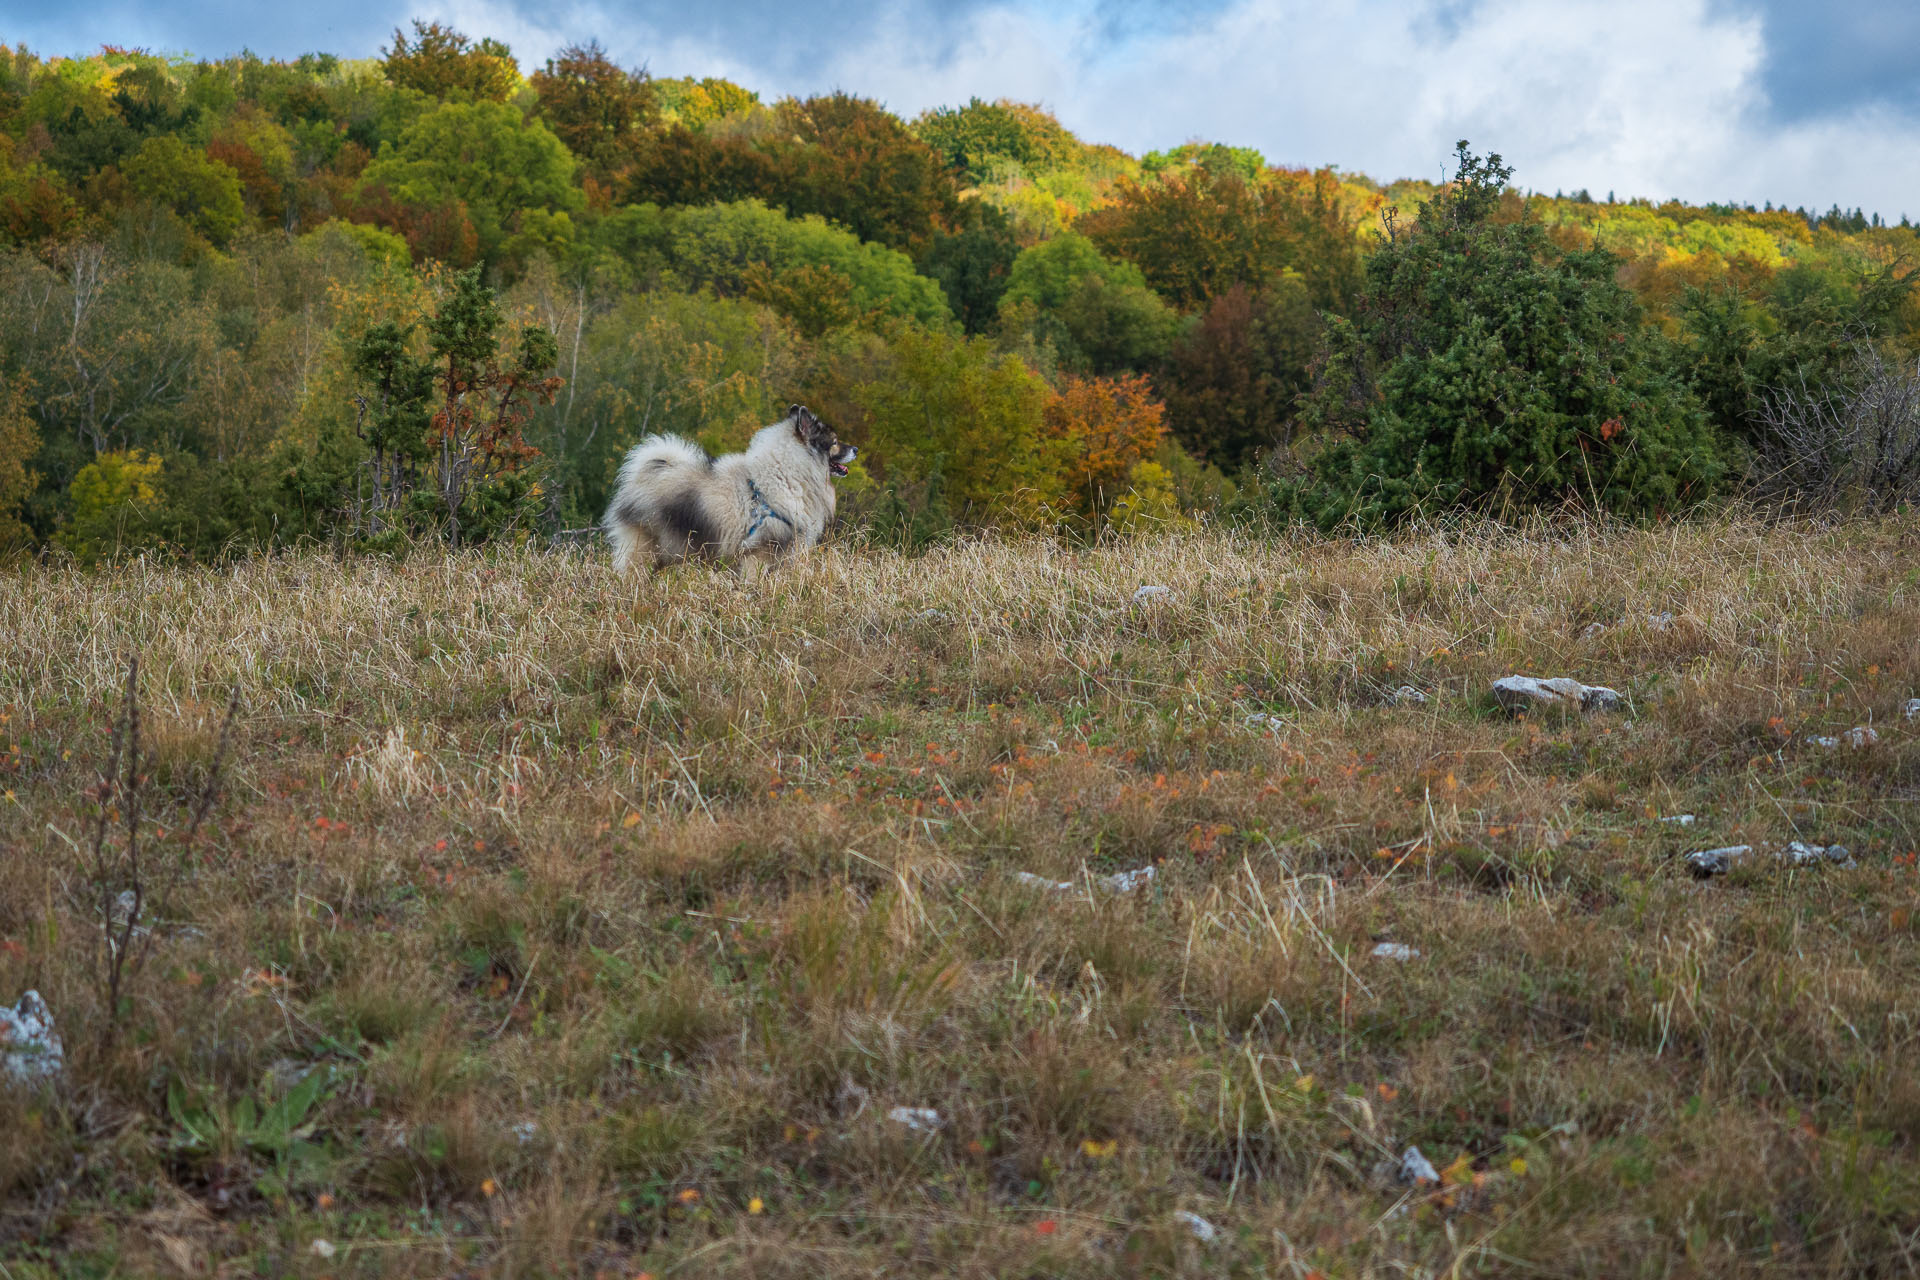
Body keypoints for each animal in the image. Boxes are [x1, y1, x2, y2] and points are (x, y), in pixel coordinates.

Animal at [602, 404, 852, 575]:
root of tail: (645, 473)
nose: (856, 449)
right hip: (644, 547)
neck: (786, 474)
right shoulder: (757, 556)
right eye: (835, 442)